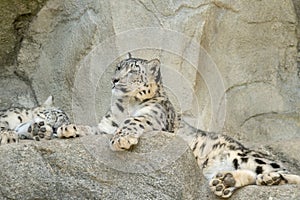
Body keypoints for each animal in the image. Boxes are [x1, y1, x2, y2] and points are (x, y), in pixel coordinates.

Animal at [59, 54, 300, 199]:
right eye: (118, 67)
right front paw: (67, 129)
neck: (124, 106)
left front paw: (122, 139)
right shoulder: (106, 125)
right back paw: (225, 182)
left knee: (286, 172)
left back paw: (268, 178)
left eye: (133, 71)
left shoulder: (151, 117)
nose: (114, 80)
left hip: (245, 156)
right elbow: (93, 129)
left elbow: (133, 121)